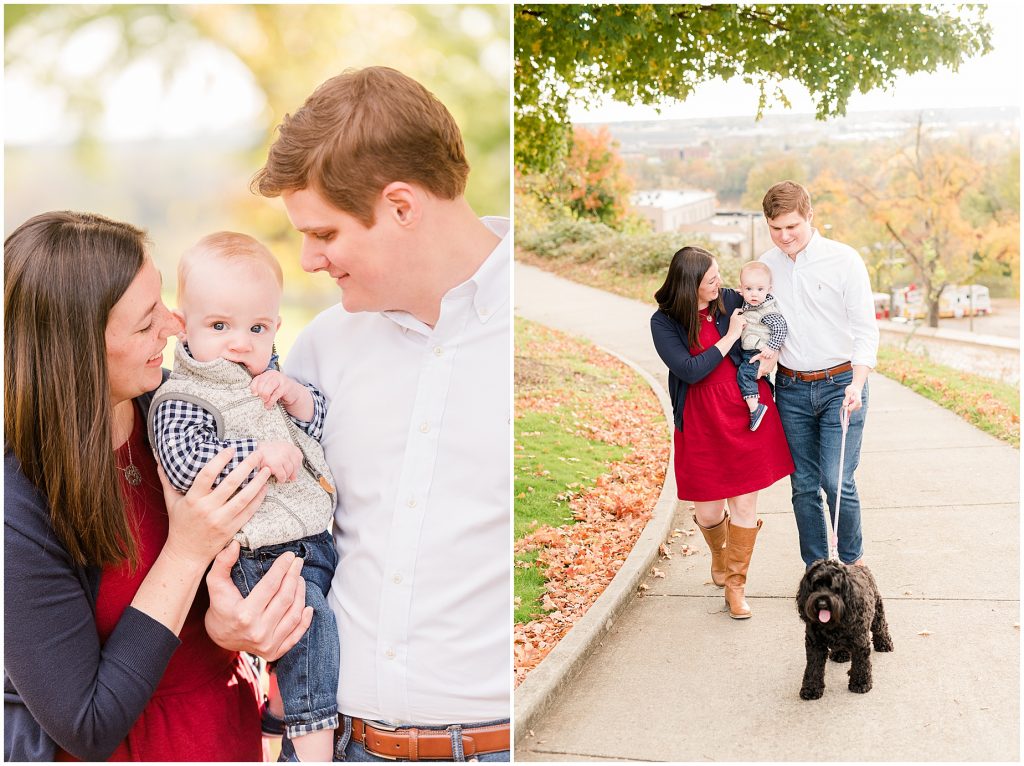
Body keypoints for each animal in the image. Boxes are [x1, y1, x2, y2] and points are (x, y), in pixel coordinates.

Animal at [794, 557, 892, 700]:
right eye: (816, 584)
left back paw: (884, 644)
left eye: (835, 587)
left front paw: (860, 684)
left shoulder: (860, 643)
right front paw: (811, 689)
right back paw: (841, 654)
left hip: (877, 611)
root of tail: (861, 567)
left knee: (881, 627)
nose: (821, 603)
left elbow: (861, 663)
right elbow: (813, 668)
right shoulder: (815, 645)